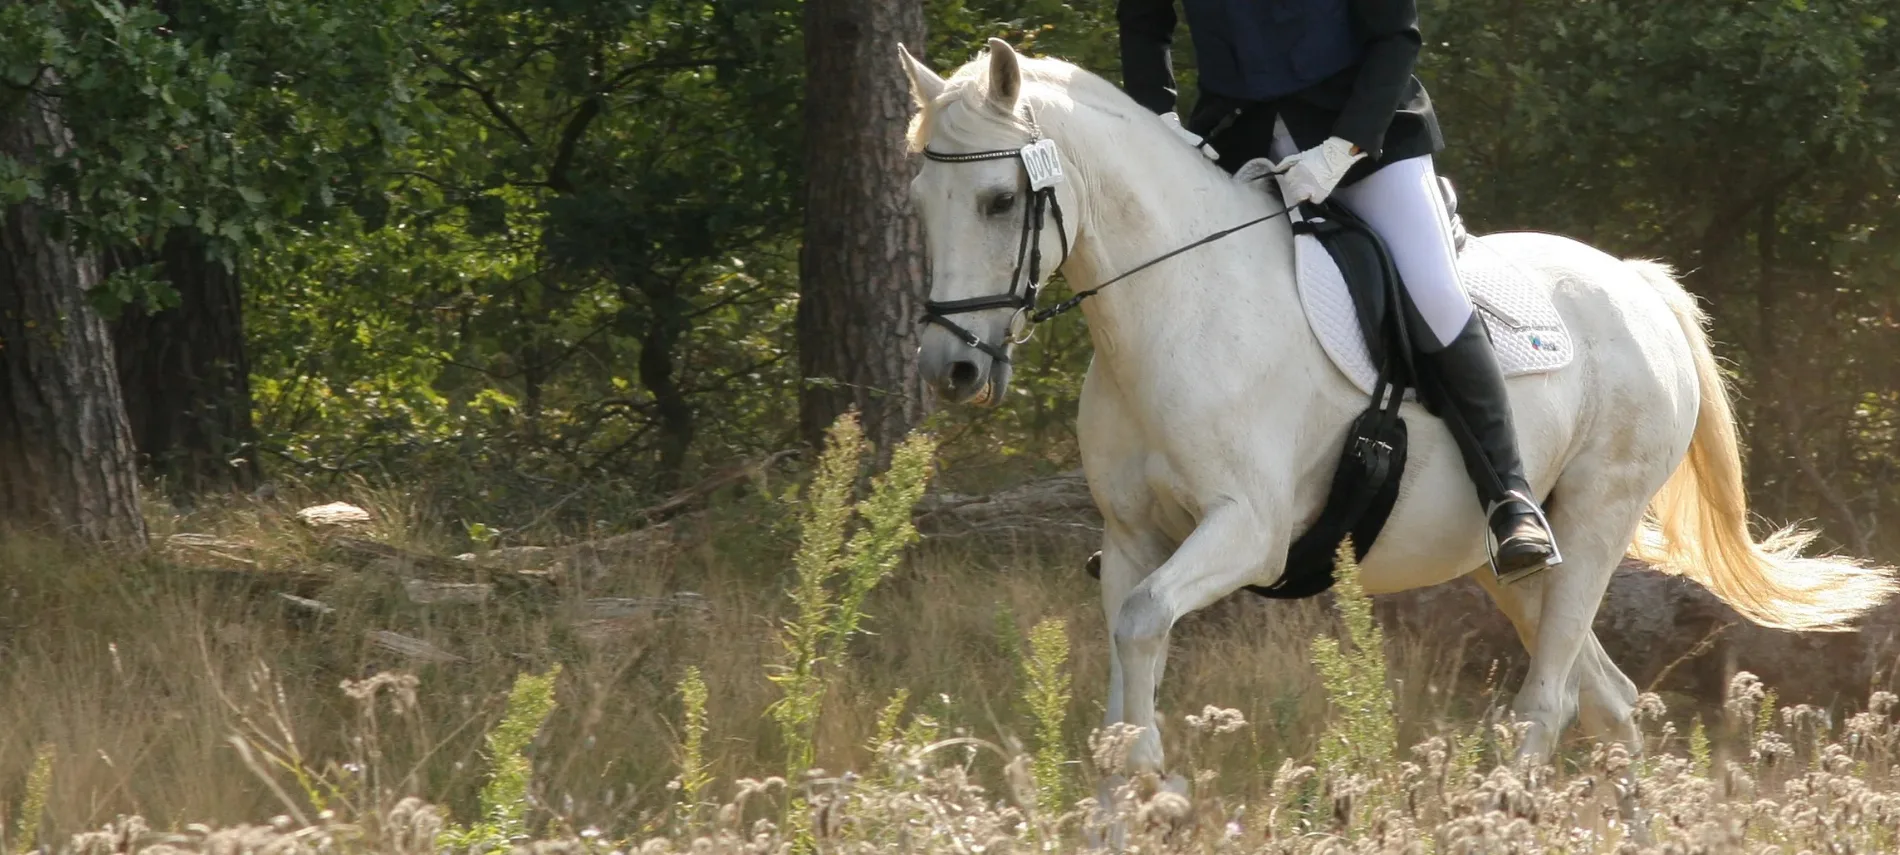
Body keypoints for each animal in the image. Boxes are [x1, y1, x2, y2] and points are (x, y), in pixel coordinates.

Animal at [898, 36, 1898, 814]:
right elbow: (1127, 655)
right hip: (1510, 568)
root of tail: (1636, 283)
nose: (952, 369)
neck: (1177, 304)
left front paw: (1159, 791)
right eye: (916, 206)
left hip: (1596, 520)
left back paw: (1503, 812)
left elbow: (1144, 624)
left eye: (998, 202)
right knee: (1611, 703)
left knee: (1549, 703)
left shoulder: (1248, 531)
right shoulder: (1134, 537)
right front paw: (1130, 798)